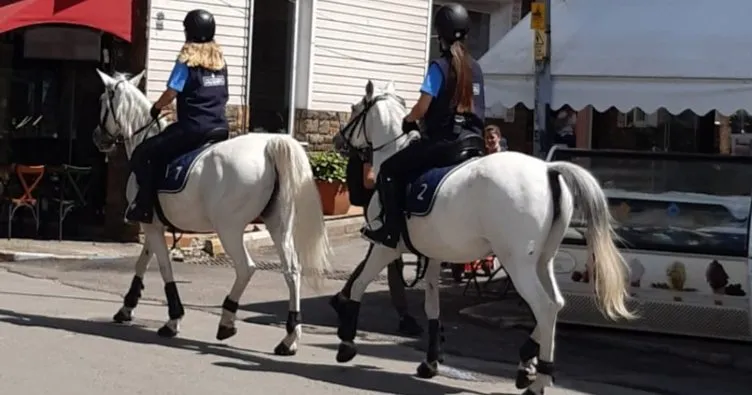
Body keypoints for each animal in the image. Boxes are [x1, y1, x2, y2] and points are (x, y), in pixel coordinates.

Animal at [92, 69, 332, 358]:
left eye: (103, 101)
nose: (97, 137)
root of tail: (269, 145)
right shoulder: (153, 224)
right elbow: (142, 262)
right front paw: (126, 307)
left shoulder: (151, 225)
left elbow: (163, 267)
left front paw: (173, 320)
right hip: (278, 224)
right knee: (292, 270)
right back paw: (289, 338)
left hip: (229, 229)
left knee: (246, 268)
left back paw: (227, 321)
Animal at [332, 81, 636, 395]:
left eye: (354, 108)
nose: (337, 141)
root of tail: (547, 169)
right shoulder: (433, 254)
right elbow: (432, 306)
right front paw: (430, 362)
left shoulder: (384, 246)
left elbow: (359, 284)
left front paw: (346, 341)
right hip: (543, 261)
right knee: (558, 304)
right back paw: (527, 362)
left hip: (517, 264)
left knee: (545, 306)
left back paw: (538, 379)